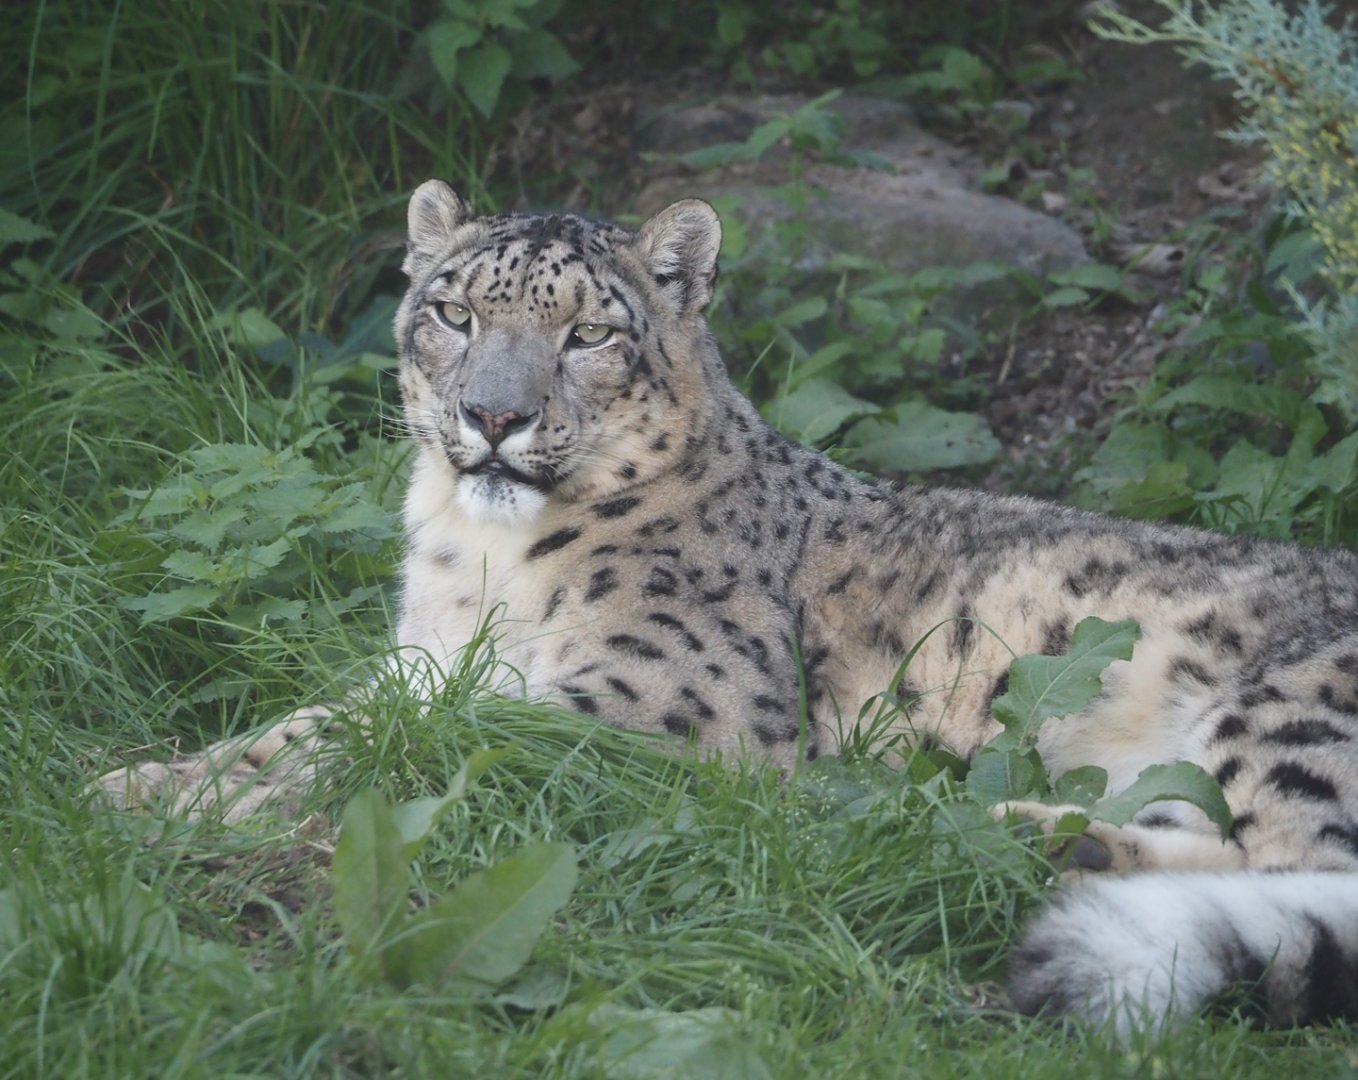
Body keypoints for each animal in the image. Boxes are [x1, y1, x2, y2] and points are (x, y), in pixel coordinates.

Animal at [99, 180, 1358, 1036]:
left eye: (589, 333)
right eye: (453, 313)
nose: (493, 418)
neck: (484, 564)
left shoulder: (665, 698)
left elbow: (433, 737)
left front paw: (186, 801)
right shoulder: (421, 658)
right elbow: (322, 720)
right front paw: (143, 783)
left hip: (1290, 704)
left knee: (1298, 865)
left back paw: (975, 830)